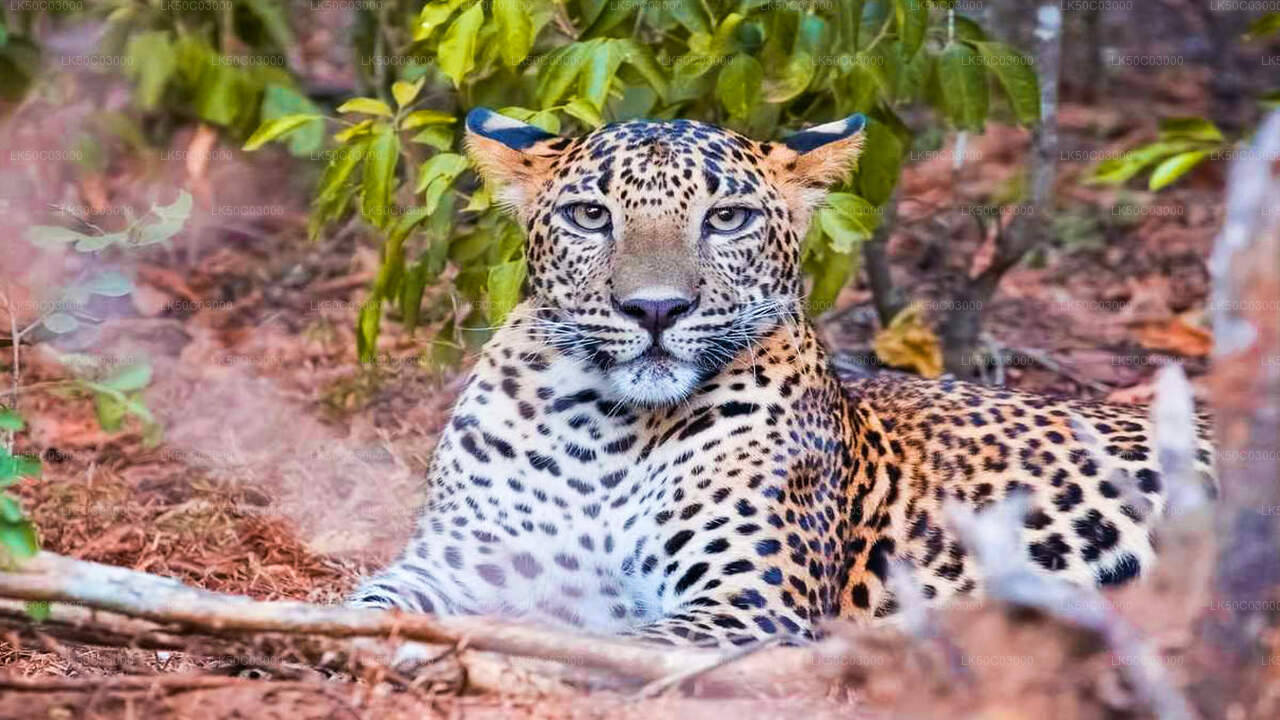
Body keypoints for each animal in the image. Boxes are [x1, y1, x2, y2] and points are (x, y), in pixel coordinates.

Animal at [349, 108, 1217, 647]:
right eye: (591, 217)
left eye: (726, 218)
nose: (654, 309)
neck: (603, 426)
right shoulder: (454, 562)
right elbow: (362, 603)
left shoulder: (747, 606)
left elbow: (621, 643)